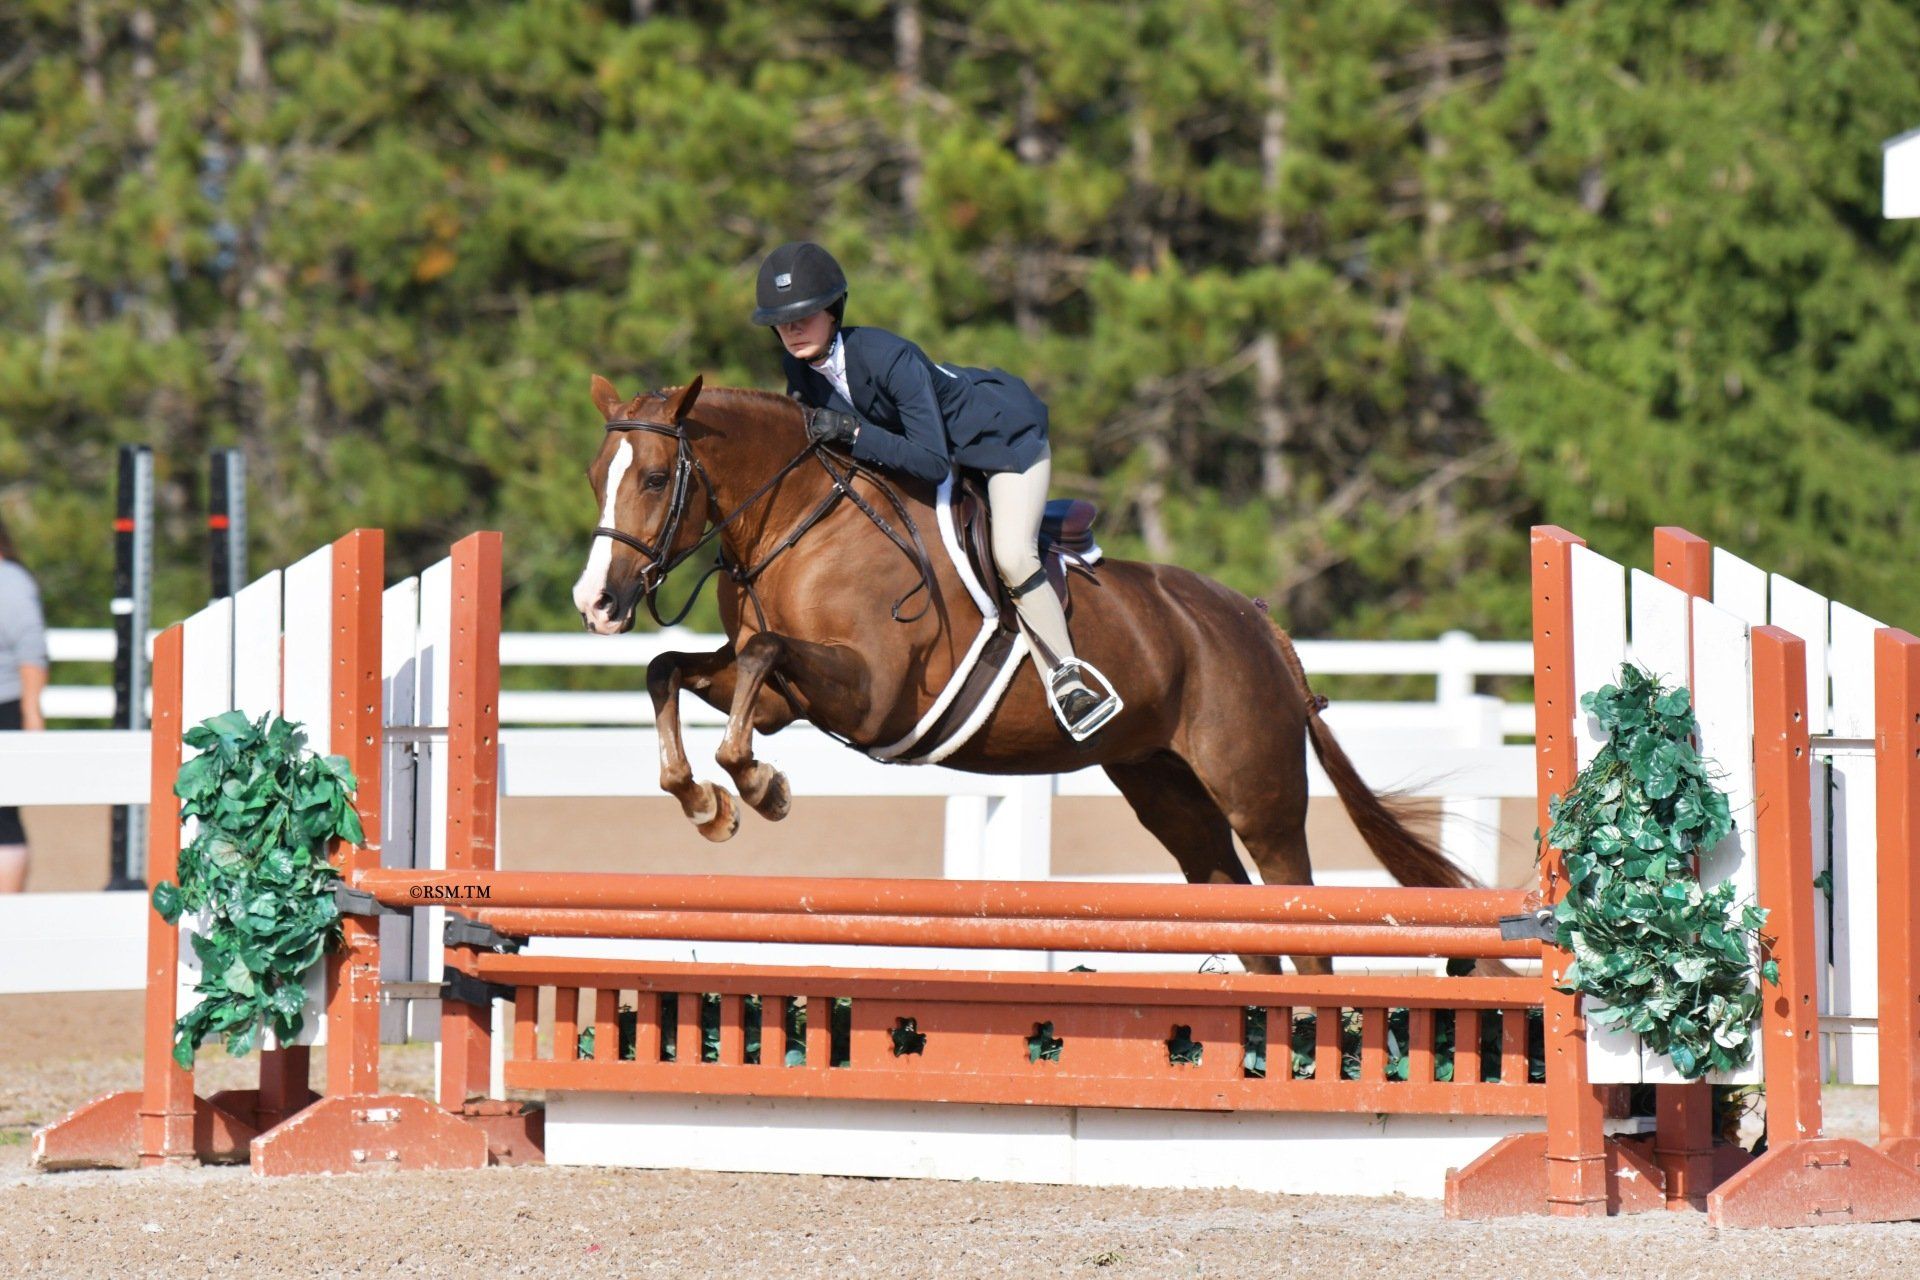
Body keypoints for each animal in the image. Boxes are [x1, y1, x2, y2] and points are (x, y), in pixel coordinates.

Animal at [571, 375, 1474, 973]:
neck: (799, 522)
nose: (597, 604)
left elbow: (759, 661)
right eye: (594, 476)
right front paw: (707, 800)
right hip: (1164, 787)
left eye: (655, 478)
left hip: (1261, 796)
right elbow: (671, 670)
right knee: (1235, 910)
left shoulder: (873, 696)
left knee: (1301, 920)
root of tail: (1257, 622)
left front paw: (759, 789)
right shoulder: (786, 698)